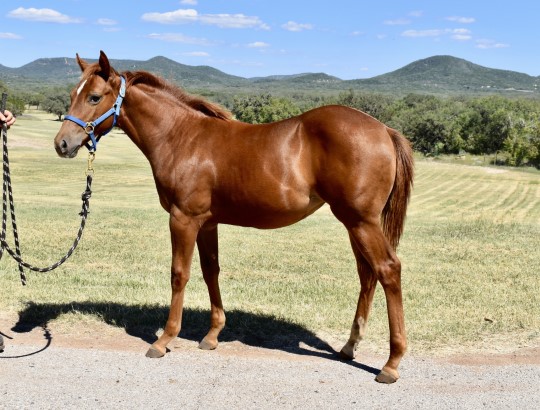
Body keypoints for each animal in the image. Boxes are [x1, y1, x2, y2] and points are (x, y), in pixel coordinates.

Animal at [53, 52, 414, 384]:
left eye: (94, 97)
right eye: (72, 93)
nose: (62, 144)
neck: (181, 137)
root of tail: (384, 129)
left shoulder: (183, 219)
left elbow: (179, 274)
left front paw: (164, 339)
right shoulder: (207, 222)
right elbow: (210, 271)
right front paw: (212, 336)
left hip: (361, 222)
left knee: (388, 270)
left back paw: (391, 363)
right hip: (355, 224)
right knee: (367, 275)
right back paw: (349, 346)